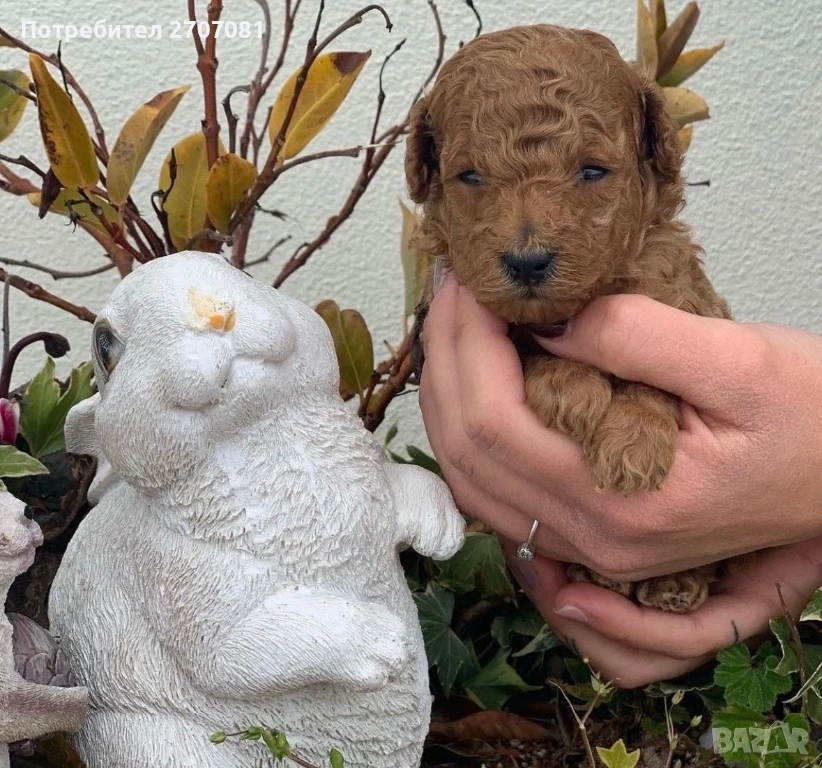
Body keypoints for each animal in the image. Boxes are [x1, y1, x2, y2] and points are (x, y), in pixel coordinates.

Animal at [405, 24, 751, 612]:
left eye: (592, 171)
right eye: (469, 176)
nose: (527, 261)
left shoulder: (682, 297)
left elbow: (656, 379)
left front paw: (632, 445)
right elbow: (526, 342)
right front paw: (571, 385)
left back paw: (671, 585)